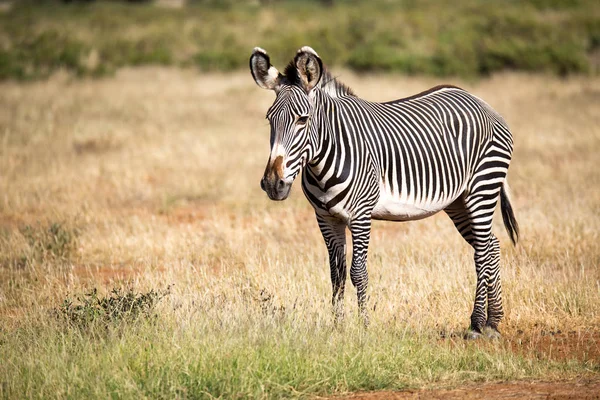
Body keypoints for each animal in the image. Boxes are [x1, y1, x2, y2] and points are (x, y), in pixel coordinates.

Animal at [251, 46, 516, 338]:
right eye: (269, 120)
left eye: (302, 120)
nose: (273, 184)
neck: (325, 156)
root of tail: (480, 101)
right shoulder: (326, 218)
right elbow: (336, 274)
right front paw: (338, 327)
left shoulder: (361, 215)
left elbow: (358, 272)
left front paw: (364, 326)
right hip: (458, 201)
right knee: (491, 245)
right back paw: (493, 322)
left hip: (482, 187)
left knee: (482, 252)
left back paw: (477, 324)